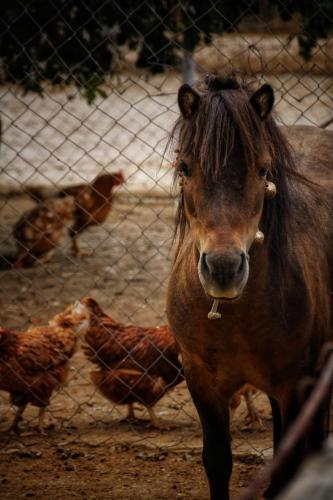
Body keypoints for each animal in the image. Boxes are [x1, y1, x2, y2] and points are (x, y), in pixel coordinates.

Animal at [166, 71, 333, 500]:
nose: (223, 269)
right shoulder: (201, 380)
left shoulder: (297, 383)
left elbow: (287, 468)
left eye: (262, 170)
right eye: (185, 167)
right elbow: (217, 462)